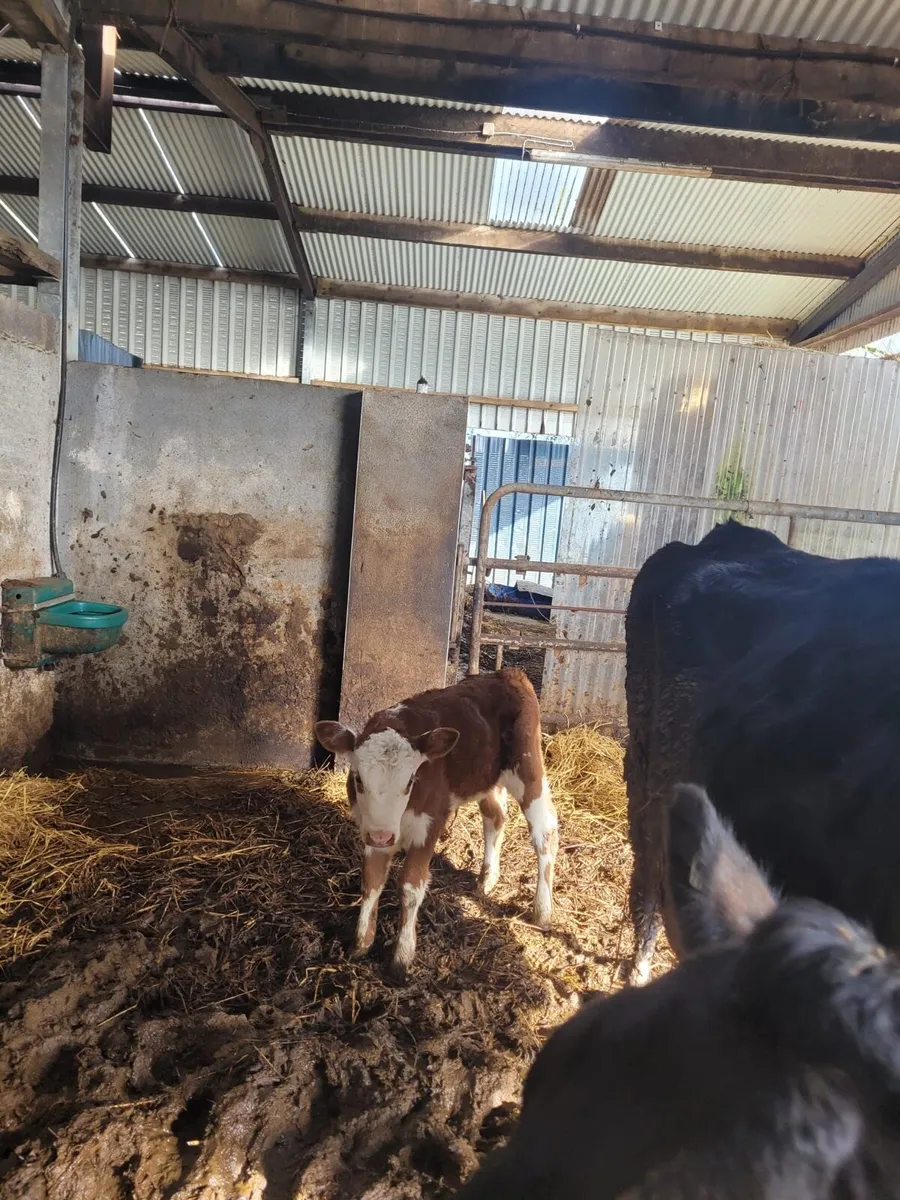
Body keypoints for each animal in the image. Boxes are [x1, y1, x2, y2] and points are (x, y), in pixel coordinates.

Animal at [314, 668, 558, 976]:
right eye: (358, 778)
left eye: (410, 781)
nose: (382, 836)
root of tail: (507, 673)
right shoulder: (372, 828)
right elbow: (371, 881)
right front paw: (360, 945)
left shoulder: (428, 826)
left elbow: (410, 886)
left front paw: (402, 956)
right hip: (485, 778)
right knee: (495, 815)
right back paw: (487, 879)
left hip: (528, 768)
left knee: (544, 831)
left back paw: (542, 911)